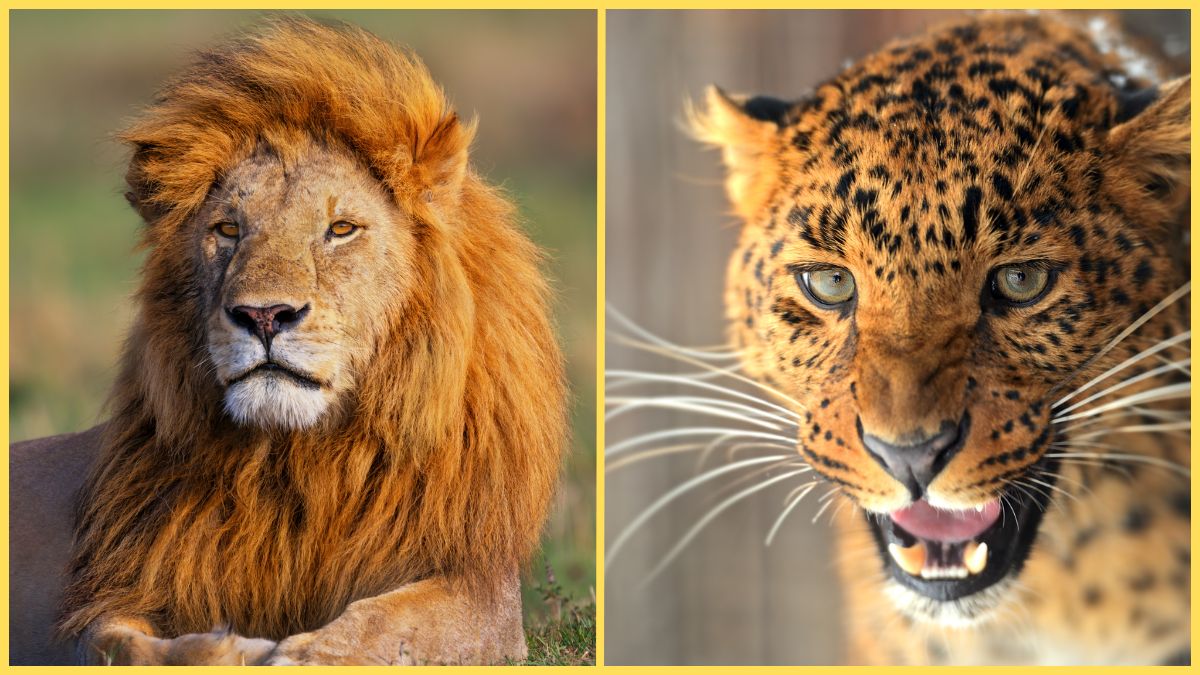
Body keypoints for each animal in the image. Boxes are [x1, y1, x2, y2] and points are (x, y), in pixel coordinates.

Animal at [10, 17, 565, 665]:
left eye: (341, 229)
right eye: (228, 229)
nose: (264, 315)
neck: (297, 459)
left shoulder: (482, 592)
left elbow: (390, 621)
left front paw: (304, 654)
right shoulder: (113, 591)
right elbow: (117, 643)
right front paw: (227, 650)